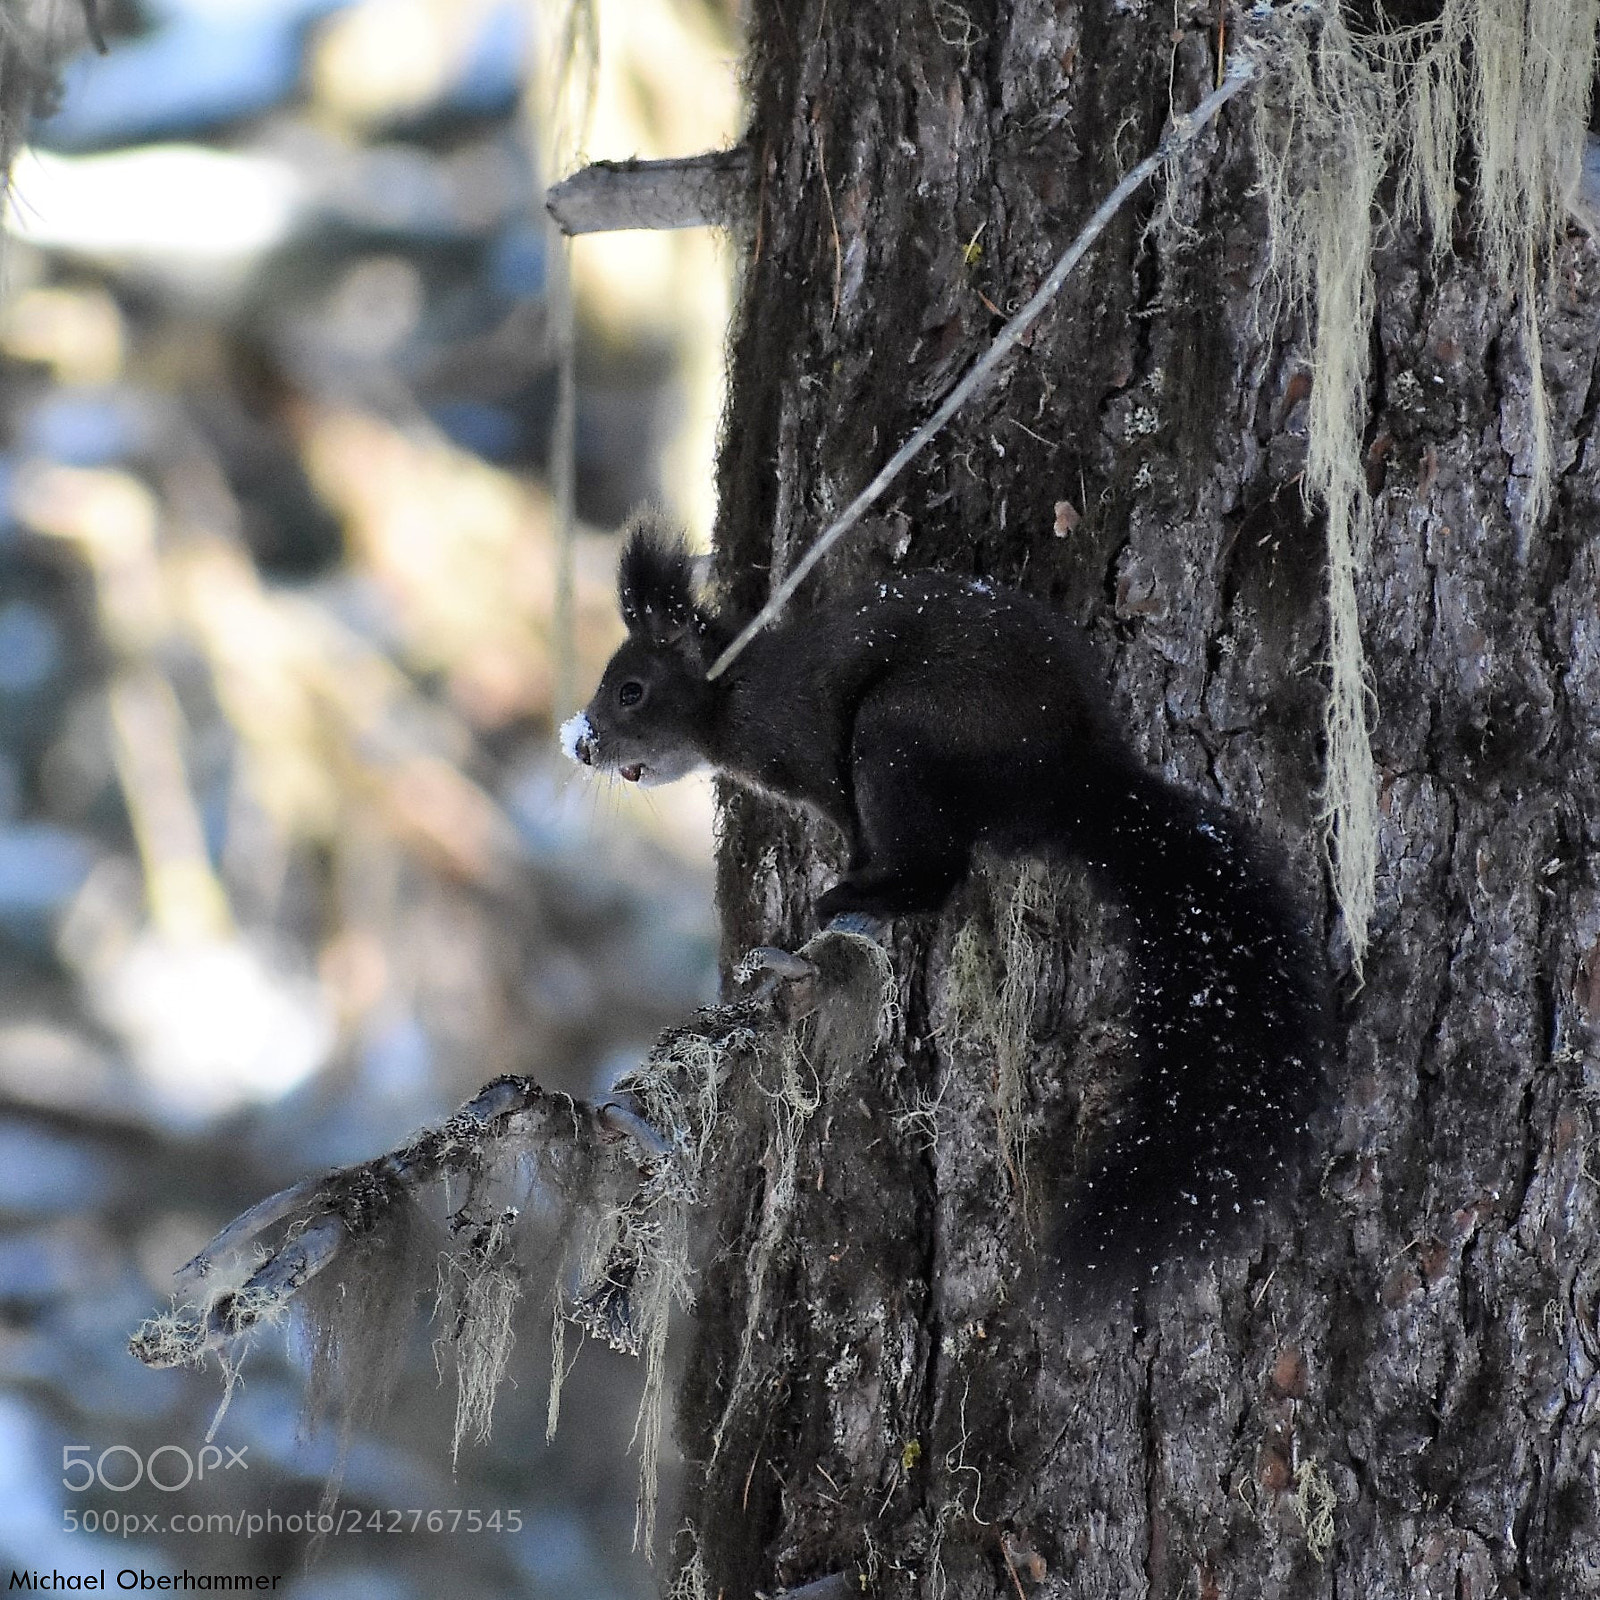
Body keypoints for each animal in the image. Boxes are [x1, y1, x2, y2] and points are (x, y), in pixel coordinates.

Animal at [561, 517, 1329, 1304]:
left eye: (630, 691)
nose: (581, 744)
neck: (738, 696)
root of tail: (1069, 774)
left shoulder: (817, 758)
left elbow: (857, 832)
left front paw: (848, 885)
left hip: (900, 732)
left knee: (937, 872)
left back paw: (857, 895)